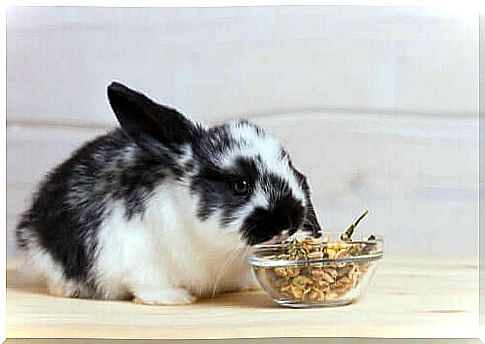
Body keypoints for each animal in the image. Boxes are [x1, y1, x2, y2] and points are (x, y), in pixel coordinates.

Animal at [15, 82, 322, 306]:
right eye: (240, 185)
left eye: (290, 164)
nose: (289, 222)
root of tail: (29, 225)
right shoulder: (133, 255)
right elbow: (147, 284)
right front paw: (175, 299)